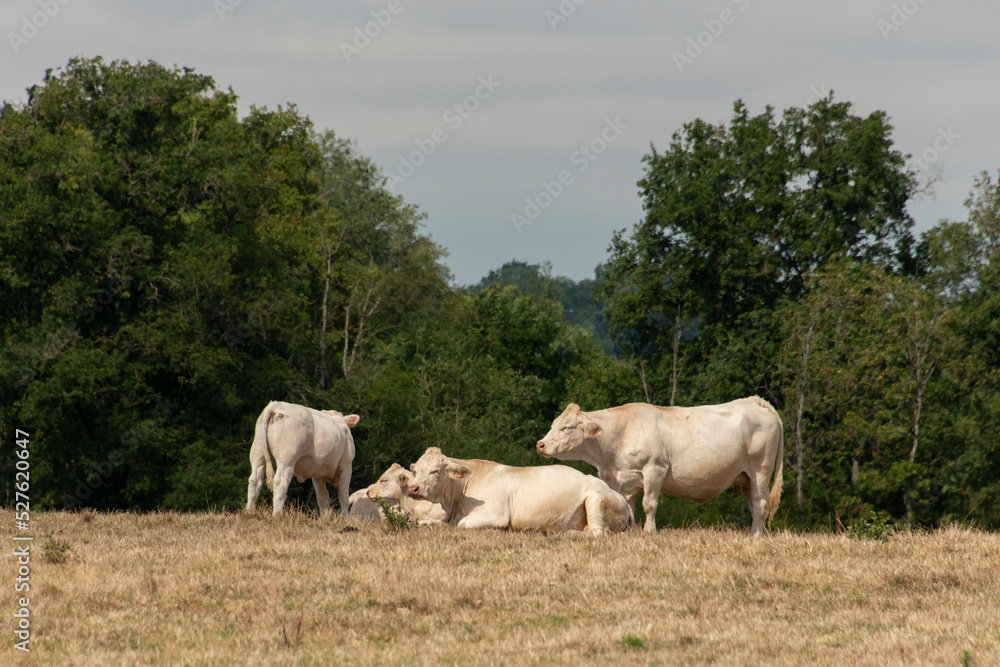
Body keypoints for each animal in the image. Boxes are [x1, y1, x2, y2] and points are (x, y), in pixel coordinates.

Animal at [406, 447, 632, 535]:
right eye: (416, 470)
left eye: (435, 470)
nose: (413, 488)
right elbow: (420, 522)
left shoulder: (496, 514)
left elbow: (462, 525)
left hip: (595, 500)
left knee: (597, 532)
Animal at [535, 396, 783, 536]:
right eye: (553, 424)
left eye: (566, 427)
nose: (541, 444)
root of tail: (756, 400)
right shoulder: (622, 480)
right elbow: (627, 507)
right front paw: (629, 532)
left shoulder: (655, 469)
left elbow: (649, 504)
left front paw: (648, 532)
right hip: (746, 476)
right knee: (753, 503)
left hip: (760, 469)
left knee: (760, 502)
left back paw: (755, 535)